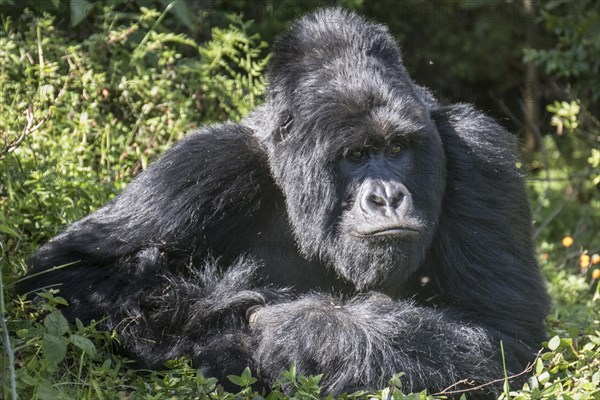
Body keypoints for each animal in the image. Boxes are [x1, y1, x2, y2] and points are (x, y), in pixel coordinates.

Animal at [21, 7, 552, 398]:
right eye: (356, 156)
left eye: (397, 149)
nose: (386, 198)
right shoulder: (205, 165)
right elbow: (67, 275)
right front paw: (230, 328)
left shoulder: (479, 153)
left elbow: (502, 334)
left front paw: (307, 330)